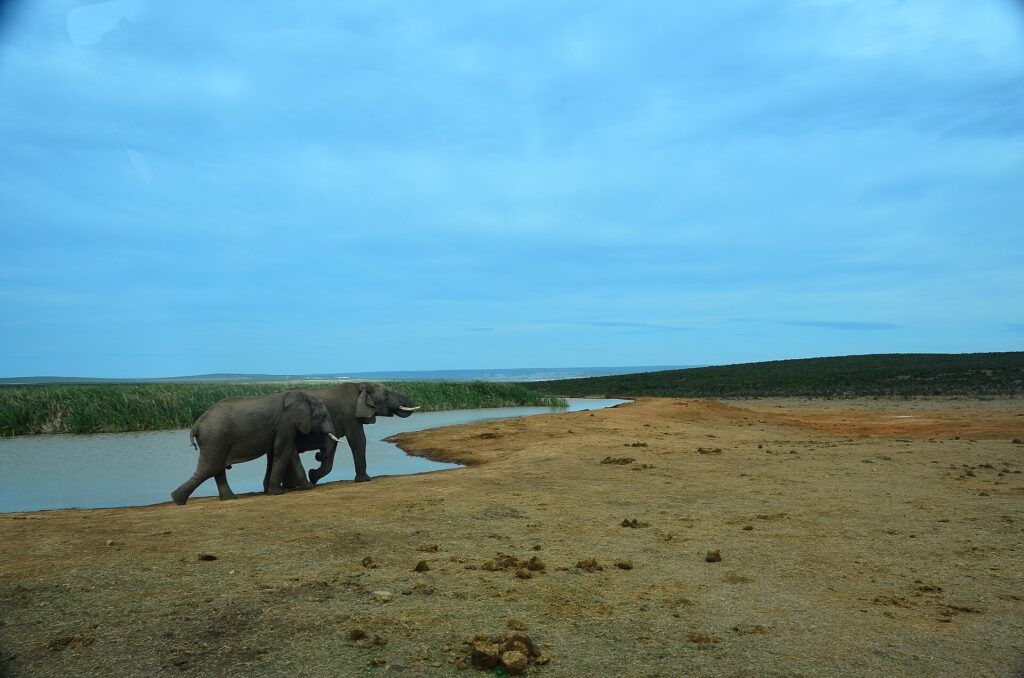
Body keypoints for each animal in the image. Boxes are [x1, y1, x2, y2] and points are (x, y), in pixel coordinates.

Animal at [171, 390, 341, 505]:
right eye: (324, 416)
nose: (318, 455)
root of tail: (196, 425)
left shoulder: (285, 426)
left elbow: (287, 452)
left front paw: (305, 488)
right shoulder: (285, 423)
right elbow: (283, 451)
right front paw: (278, 493)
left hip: (215, 439)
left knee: (215, 468)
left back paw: (228, 498)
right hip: (215, 438)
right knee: (210, 468)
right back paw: (178, 499)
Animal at [290, 382, 419, 485]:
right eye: (386, 394)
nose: (317, 455)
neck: (362, 385)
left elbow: (333, 446)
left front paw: (312, 476)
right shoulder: (350, 415)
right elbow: (358, 440)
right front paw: (365, 480)